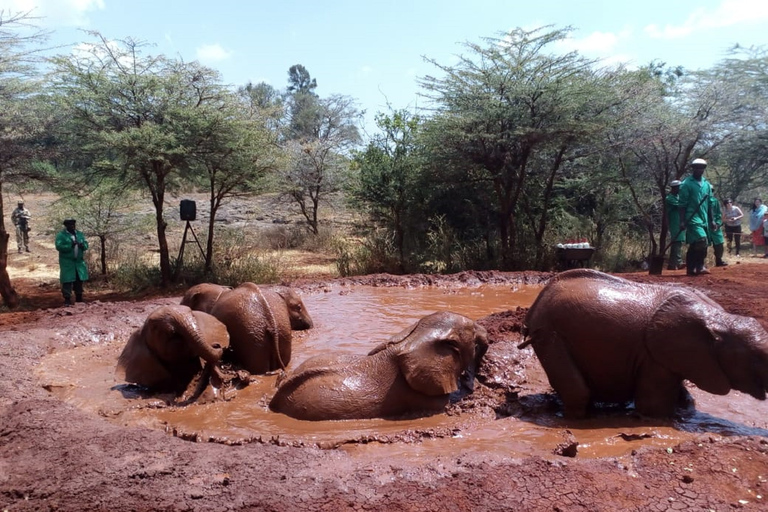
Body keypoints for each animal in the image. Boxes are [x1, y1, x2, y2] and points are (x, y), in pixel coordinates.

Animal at [520, 270, 768, 418]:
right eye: (759, 358)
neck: (720, 318)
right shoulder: (654, 358)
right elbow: (653, 406)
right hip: (551, 335)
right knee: (578, 392)